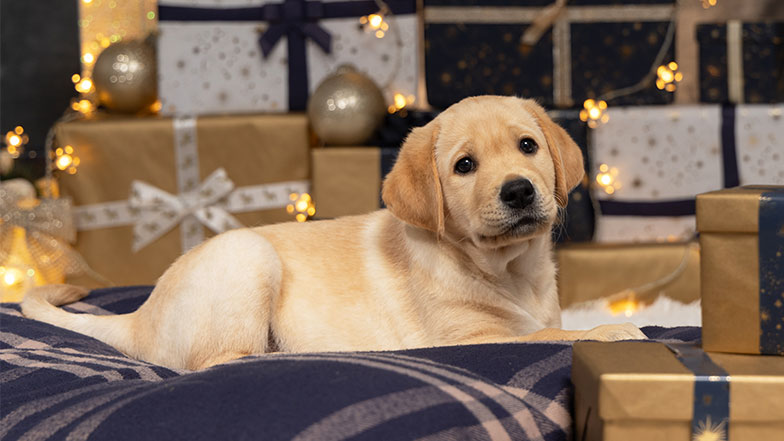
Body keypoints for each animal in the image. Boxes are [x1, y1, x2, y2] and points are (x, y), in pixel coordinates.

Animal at [21, 95, 644, 368]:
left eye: (528, 146)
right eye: (465, 166)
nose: (517, 191)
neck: (508, 268)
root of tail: (139, 318)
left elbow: (551, 326)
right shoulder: (469, 340)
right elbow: (554, 336)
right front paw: (612, 331)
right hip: (247, 257)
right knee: (221, 361)